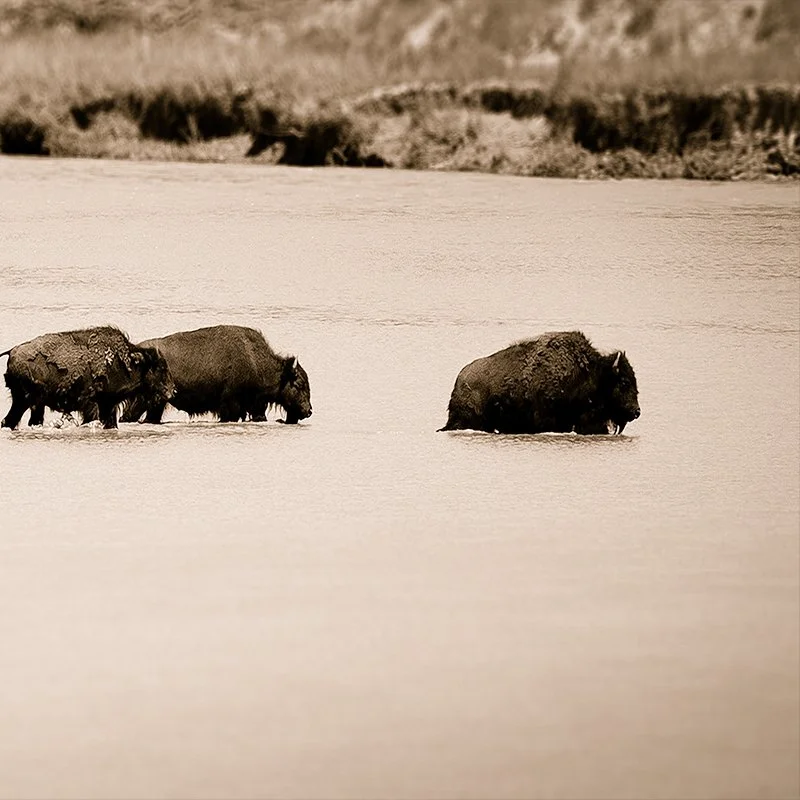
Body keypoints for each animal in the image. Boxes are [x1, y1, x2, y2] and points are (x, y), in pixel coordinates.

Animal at [1, 326, 173, 430]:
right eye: (159, 367)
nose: (172, 391)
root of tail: (12, 351)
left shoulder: (109, 406)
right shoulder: (93, 405)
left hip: (23, 402)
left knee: (10, 420)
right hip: (33, 402)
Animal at [120, 325, 312, 424]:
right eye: (299, 384)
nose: (308, 411)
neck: (254, 360)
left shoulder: (254, 407)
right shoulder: (231, 404)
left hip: (156, 404)